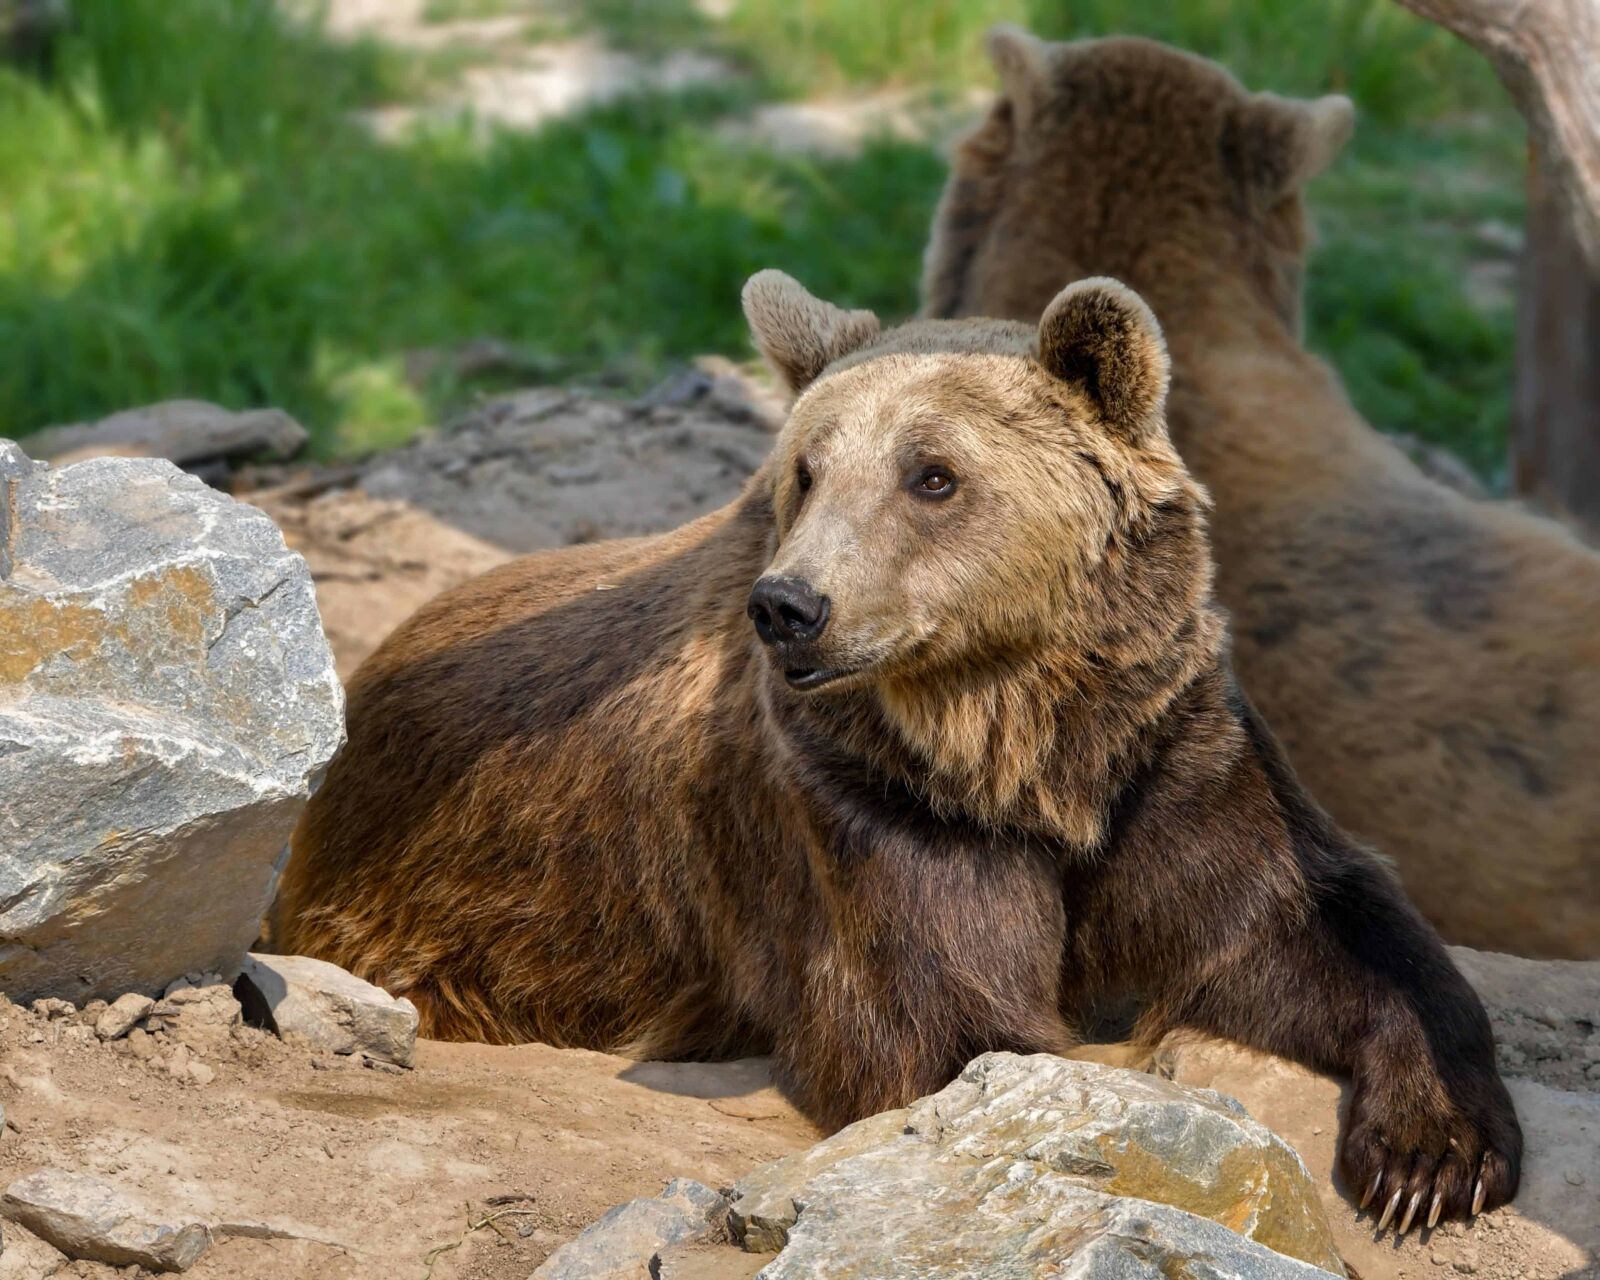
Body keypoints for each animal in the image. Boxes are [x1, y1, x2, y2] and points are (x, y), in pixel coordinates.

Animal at [278, 270, 1521, 1230]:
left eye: (933, 473)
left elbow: (1310, 921)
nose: (789, 606)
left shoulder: (1168, 763)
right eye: (807, 470)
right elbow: (947, 1024)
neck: (1023, 745)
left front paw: (1433, 1157)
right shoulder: (867, 807)